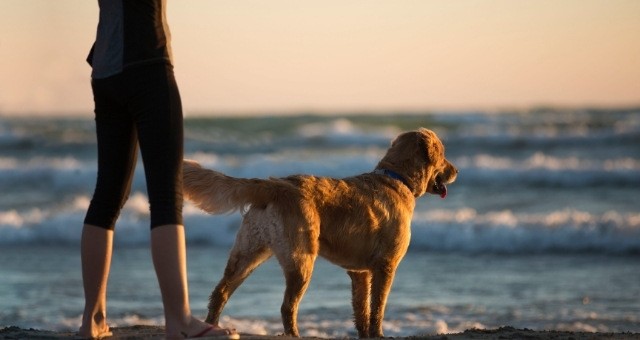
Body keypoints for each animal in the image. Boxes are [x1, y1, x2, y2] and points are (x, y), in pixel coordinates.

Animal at [182, 127, 458, 338]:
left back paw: (212, 326)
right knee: (287, 306)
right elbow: (377, 307)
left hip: (248, 253)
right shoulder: (386, 266)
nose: (456, 171)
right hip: (301, 260)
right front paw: (378, 334)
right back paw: (293, 334)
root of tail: (276, 185)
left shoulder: (359, 272)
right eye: (444, 155)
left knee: (220, 292)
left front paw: (365, 334)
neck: (397, 178)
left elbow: (362, 309)